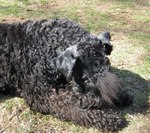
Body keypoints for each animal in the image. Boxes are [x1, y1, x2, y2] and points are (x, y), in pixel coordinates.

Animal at [0, 18, 132, 132]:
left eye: (107, 63)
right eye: (85, 76)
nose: (100, 101)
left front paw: (121, 95)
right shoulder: (42, 96)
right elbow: (68, 105)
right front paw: (107, 118)